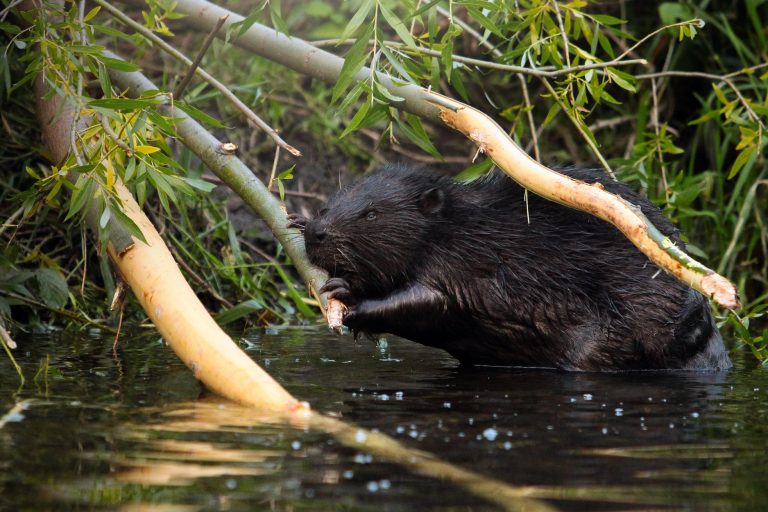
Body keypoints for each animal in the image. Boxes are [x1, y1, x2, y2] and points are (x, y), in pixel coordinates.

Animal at [288, 166, 732, 370]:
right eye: (333, 200)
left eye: (371, 213)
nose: (319, 232)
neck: (457, 227)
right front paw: (295, 221)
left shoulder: (461, 263)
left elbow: (429, 300)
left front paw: (347, 296)